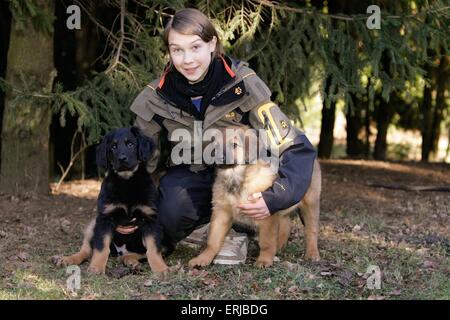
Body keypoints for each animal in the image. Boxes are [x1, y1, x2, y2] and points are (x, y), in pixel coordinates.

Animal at [53, 127, 168, 276]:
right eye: (113, 147)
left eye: (130, 144)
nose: (122, 159)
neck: (127, 181)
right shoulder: (105, 217)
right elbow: (101, 247)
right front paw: (96, 267)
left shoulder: (151, 219)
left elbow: (153, 249)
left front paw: (160, 268)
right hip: (93, 225)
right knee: (86, 250)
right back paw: (68, 259)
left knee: (137, 253)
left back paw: (131, 261)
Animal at [188, 126, 322, 268]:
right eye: (216, 147)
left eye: (234, 145)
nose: (218, 158)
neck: (237, 179)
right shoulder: (221, 211)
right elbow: (213, 239)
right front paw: (203, 258)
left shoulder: (266, 214)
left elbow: (267, 242)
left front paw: (264, 260)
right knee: (286, 224)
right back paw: (279, 247)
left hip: (310, 203)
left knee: (312, 230)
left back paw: (312, 254)